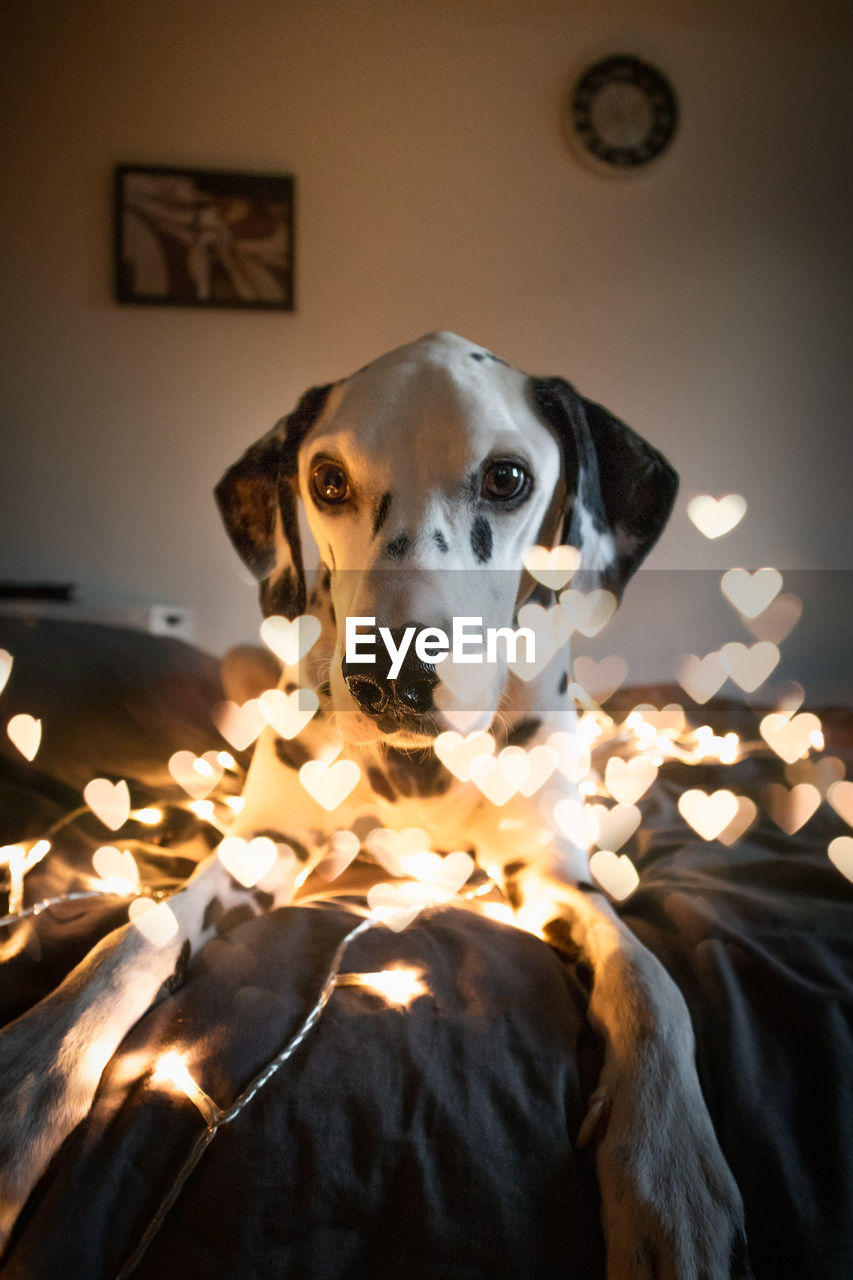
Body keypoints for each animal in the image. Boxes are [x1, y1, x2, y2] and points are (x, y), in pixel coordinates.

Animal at [0, 335, 742, 1274]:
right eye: (327, 481)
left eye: (505, 478)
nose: (391, 672)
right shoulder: (262, 850)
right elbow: (131, 939)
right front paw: (29, 1080)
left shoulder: (552, 878)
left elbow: (650, 985)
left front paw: (668, 1169)